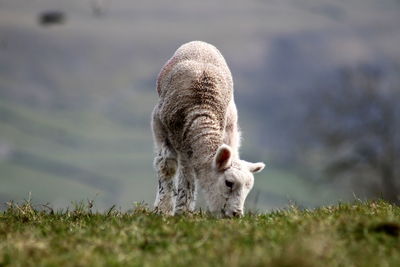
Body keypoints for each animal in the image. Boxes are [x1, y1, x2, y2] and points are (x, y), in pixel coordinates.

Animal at [152, 41, 264, 218]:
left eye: (248, 188)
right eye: (228, 183)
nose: (236, 214)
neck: (201, 112)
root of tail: (200, 43)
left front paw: (183, 212)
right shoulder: (160, 125)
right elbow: (169, 167)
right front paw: (165, 210)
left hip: (231, 120)